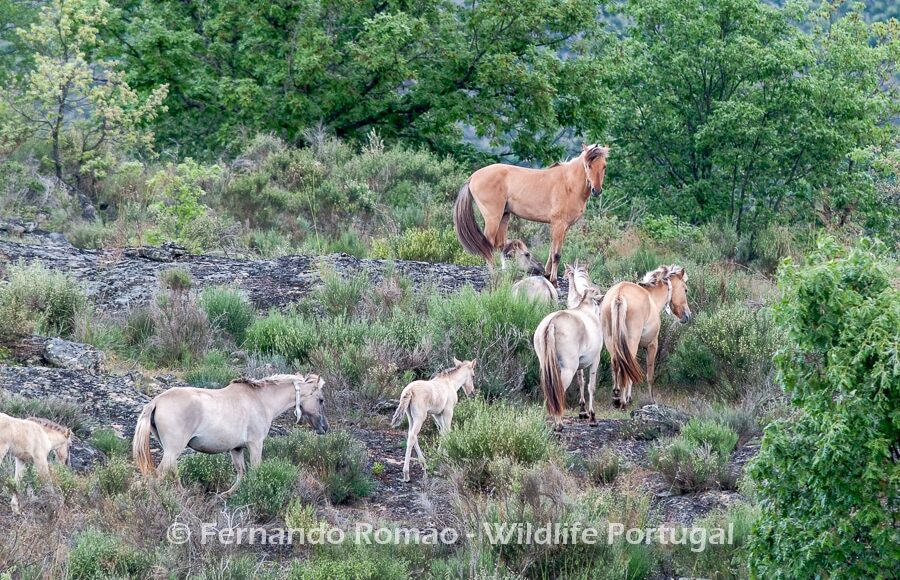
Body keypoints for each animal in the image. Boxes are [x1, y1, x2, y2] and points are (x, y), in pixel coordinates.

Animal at [132, 374, 328, 495]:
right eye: (321, 400)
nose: (324, 427)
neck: (261, 400)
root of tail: (156, 401)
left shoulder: (237, 449)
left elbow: (241, 472)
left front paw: (227, 494)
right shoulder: (255, 444)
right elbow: (255, 470)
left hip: (170, 451)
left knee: (171, 472)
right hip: (173, 450)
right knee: (158, 475)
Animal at [454, 144, 609, 286]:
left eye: (604, 166)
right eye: (588, 165)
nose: (596, 190)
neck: (568, 184)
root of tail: (472, 177)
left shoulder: (563, 227)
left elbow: (552, 250)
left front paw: (547, 274)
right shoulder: (559, 224)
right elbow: (557, 254)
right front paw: (553, 281)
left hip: (504, 216)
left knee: (501, 246)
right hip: (493, 218)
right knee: (487, 244)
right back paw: (494, 274)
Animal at [534, 287, 605, 430]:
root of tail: (552, 322)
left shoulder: (580, 365)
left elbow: (581, 382)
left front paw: (582, 412)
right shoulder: (595, 359)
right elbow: (591, 386)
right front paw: (592, 417)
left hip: (546, 367)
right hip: (568, 368)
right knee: (559, 391)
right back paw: (559, 423)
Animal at [600, 265, 692, 408]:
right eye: (685, 289)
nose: (688, 315)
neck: (652, 298)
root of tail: (619, 295)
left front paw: (629, 396)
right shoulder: (652, 345)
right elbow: (650, 374)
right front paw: (651, 400)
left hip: (611, 342)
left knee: (616, 364)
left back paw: (616, 398)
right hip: (631, 342)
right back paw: (622, 401)